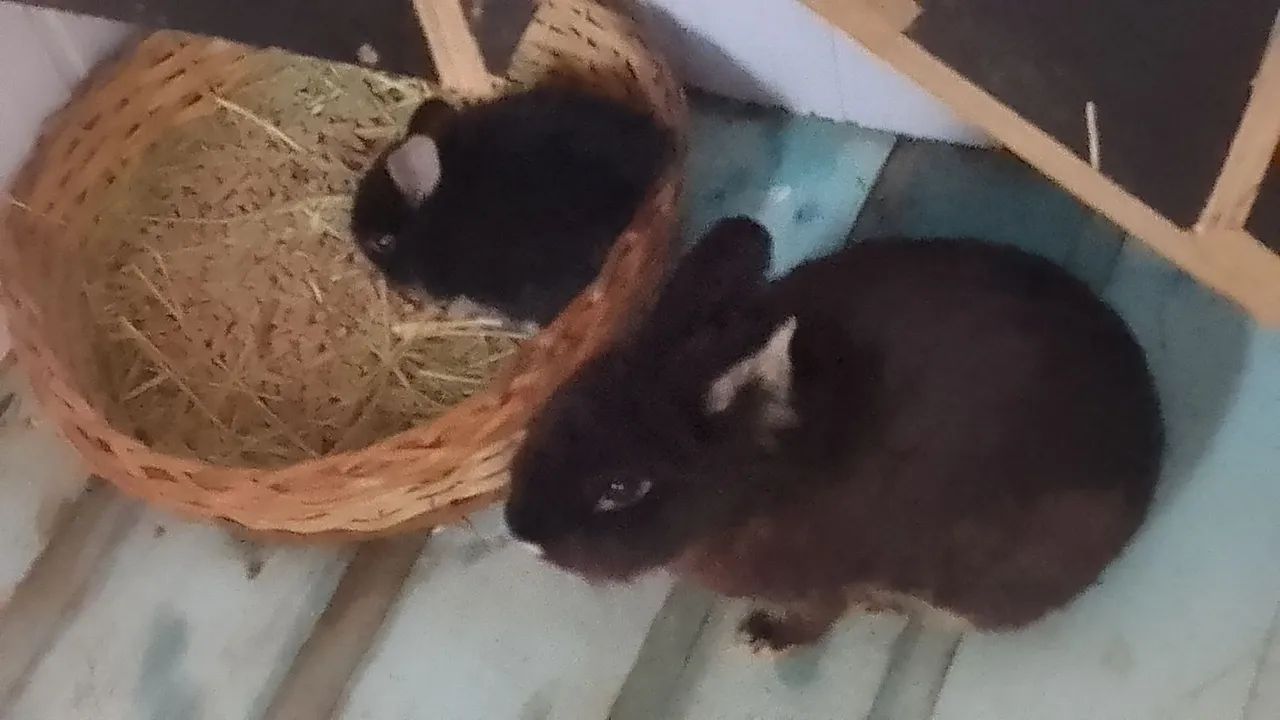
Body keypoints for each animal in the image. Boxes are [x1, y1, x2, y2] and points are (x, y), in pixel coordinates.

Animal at [503, 216, 1164, 653]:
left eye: (621, 487)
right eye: (554, 410)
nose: (520, 532)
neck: (755, 483)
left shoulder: (825, 578)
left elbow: (819, 615)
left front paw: (766, 639)